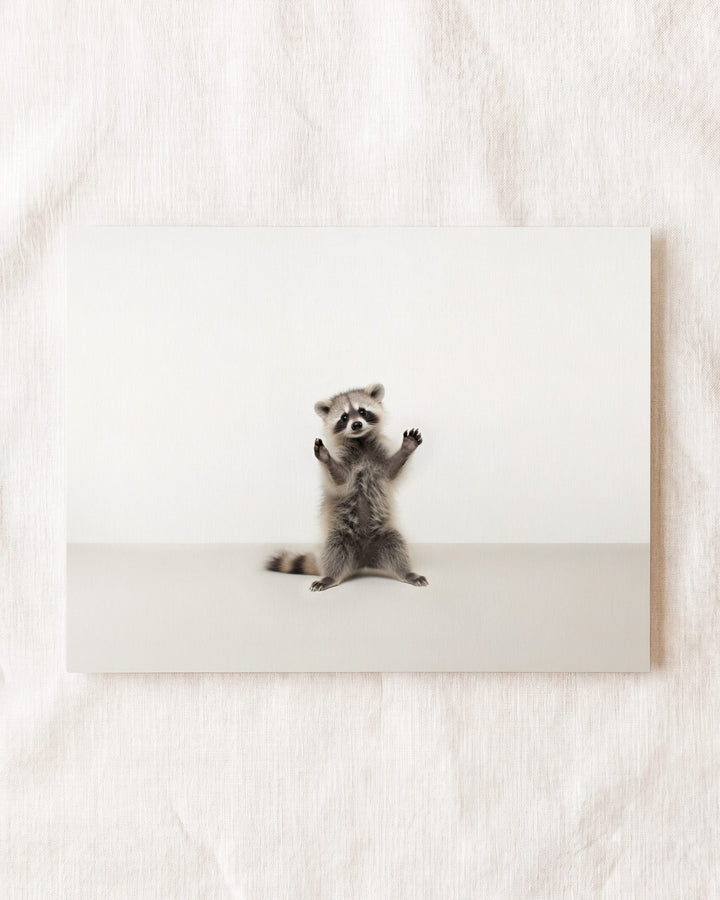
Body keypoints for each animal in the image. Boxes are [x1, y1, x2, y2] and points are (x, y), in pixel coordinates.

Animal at [266, 383, 428, 591]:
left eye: (362, 411)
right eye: (344, 417)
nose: (356, 424)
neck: (360, 441)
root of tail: (364, 561)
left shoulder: (378, 458)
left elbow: (391, 471)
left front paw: (406, 449)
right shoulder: (345, 461)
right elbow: (340, 480)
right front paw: (326, 458)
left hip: (385, 534)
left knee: (397, 545)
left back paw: (406, 572)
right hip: (339, 535)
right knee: (334, 551)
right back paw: (330, 577)